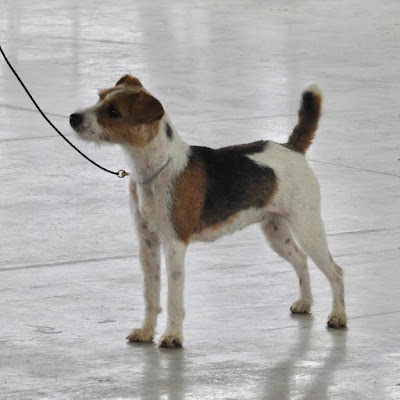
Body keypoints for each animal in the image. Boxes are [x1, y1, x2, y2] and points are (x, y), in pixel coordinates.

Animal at [70, 75, 347, 348]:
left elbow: (173, 296)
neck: (155, 169)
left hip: (308, 228)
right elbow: (151, 294)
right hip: (276, 231)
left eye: (113, 111)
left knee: (335, 271)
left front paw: (172, 336)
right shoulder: (147, 243)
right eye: (100, 97)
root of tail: (291, 148)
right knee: (300, 259)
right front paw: (146, 331)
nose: (73, 118)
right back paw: (305, 303)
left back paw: (338, 316)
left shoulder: (174, 245)